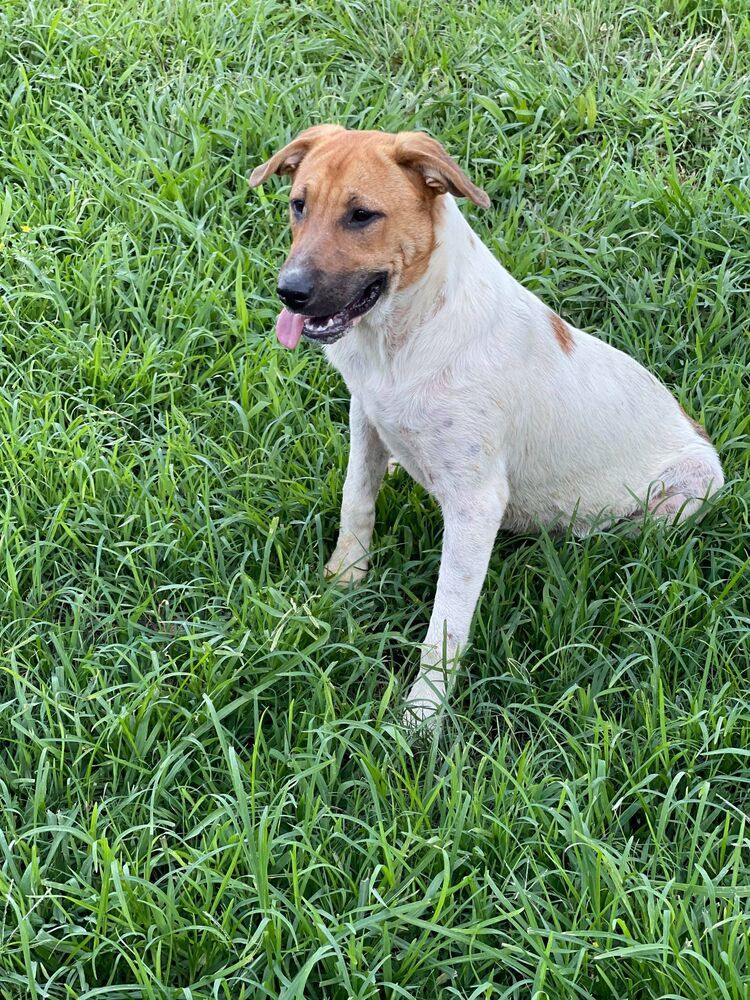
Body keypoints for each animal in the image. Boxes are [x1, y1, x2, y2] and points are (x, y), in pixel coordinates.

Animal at [251, 125, 724, 724]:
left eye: (361, 215)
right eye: (298, 205)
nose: (288, 293)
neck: (404, 337)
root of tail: (697, 429)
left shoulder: (477, 503)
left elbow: (446, 622)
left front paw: (421, 718)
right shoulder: (366, 414)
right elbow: (355, 499)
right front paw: (341, 584)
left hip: (696, 483)